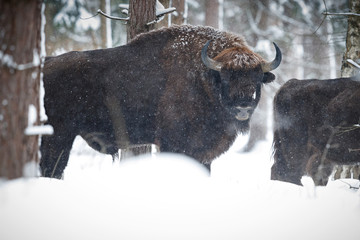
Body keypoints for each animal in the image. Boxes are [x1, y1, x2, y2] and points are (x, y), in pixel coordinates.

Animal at [39, 24, 282, 178]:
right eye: (225, 77)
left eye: (257, 78)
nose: (243, 107)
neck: (203, 79)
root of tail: (45, 63)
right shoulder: (174, 144)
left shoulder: (204, 153)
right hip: (58, 135)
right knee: (51, 167)